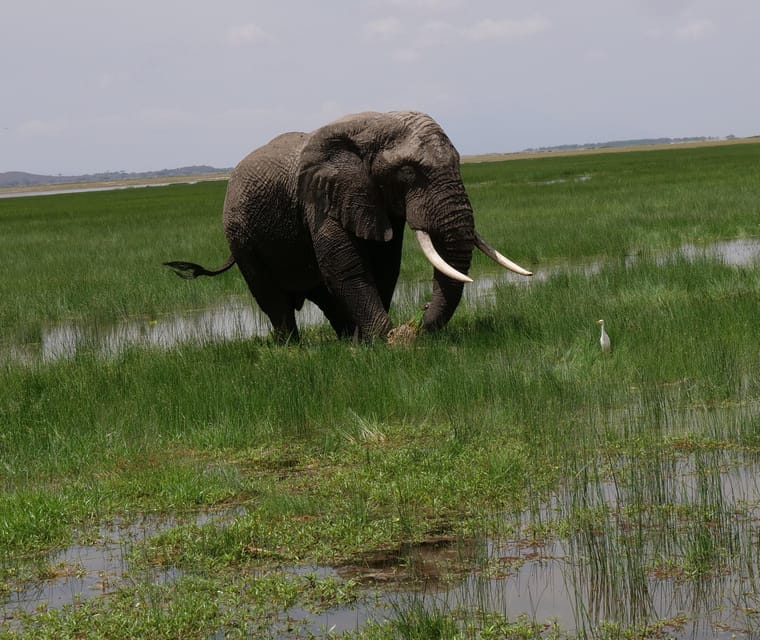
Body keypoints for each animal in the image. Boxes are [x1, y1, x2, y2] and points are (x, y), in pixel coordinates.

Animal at [165, 110, 536, 342]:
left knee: (321, 293)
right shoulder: (321, 201)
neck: (372, 125)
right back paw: (291, 349)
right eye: (407, 172)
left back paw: (345, 339)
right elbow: (347, 269)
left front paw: (370, 343)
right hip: (240, 234)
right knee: (272, 296)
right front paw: (388, 341)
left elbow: (385, 267)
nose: (420, 315)